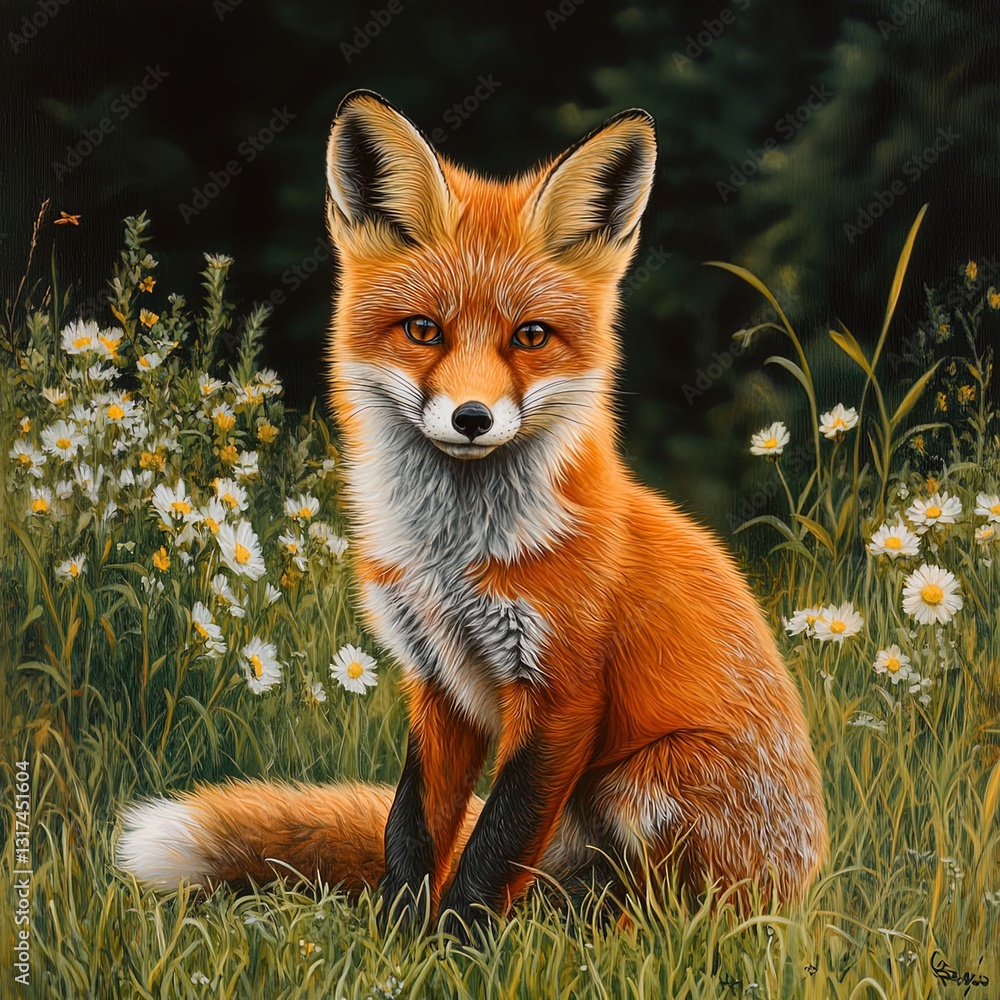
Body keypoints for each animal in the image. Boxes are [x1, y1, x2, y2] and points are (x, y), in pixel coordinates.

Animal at [117, 90, 828, 935]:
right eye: (425, 330)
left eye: (531, 336)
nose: (472, 418)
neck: (451, 558)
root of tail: (808, 891)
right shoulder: (437, 681)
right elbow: (413, 826)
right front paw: (397, 935)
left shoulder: (562, 693)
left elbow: (495, 841)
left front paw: (457, 943)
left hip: (652, 778)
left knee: (674, 923)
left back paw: (608, 939)